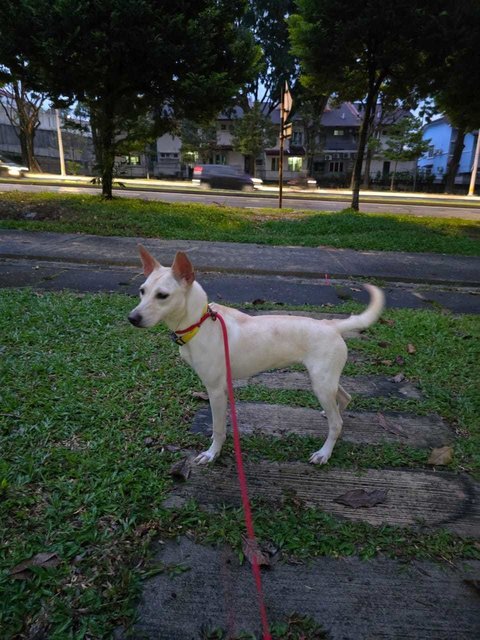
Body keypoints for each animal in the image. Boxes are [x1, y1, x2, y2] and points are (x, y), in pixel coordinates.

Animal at [129, 249, 384, 464]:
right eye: (142, 291)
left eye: (163, 295)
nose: (132, 318)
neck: (200, 324)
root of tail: (331, 324)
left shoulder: (216, 390)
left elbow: (218, 429)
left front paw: (212, 453)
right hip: (326, 380)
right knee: (344, 398)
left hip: (320, 383)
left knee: (337, 423)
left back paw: (324, 452)